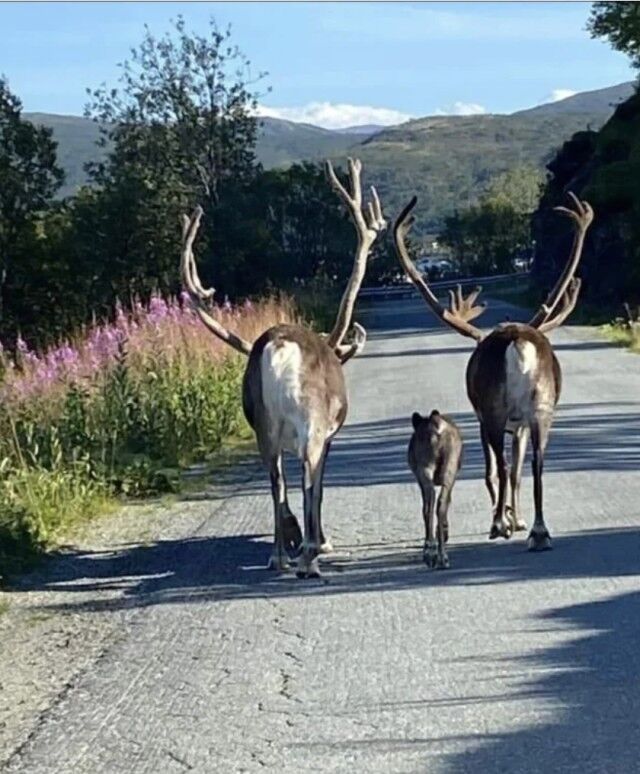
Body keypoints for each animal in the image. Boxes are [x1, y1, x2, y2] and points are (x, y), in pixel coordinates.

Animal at [410, 412, 460, 568]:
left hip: (426, 467)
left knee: (431, 503)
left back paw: (432, 552)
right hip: (446, 468)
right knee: (437, 502)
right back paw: (439, 555)